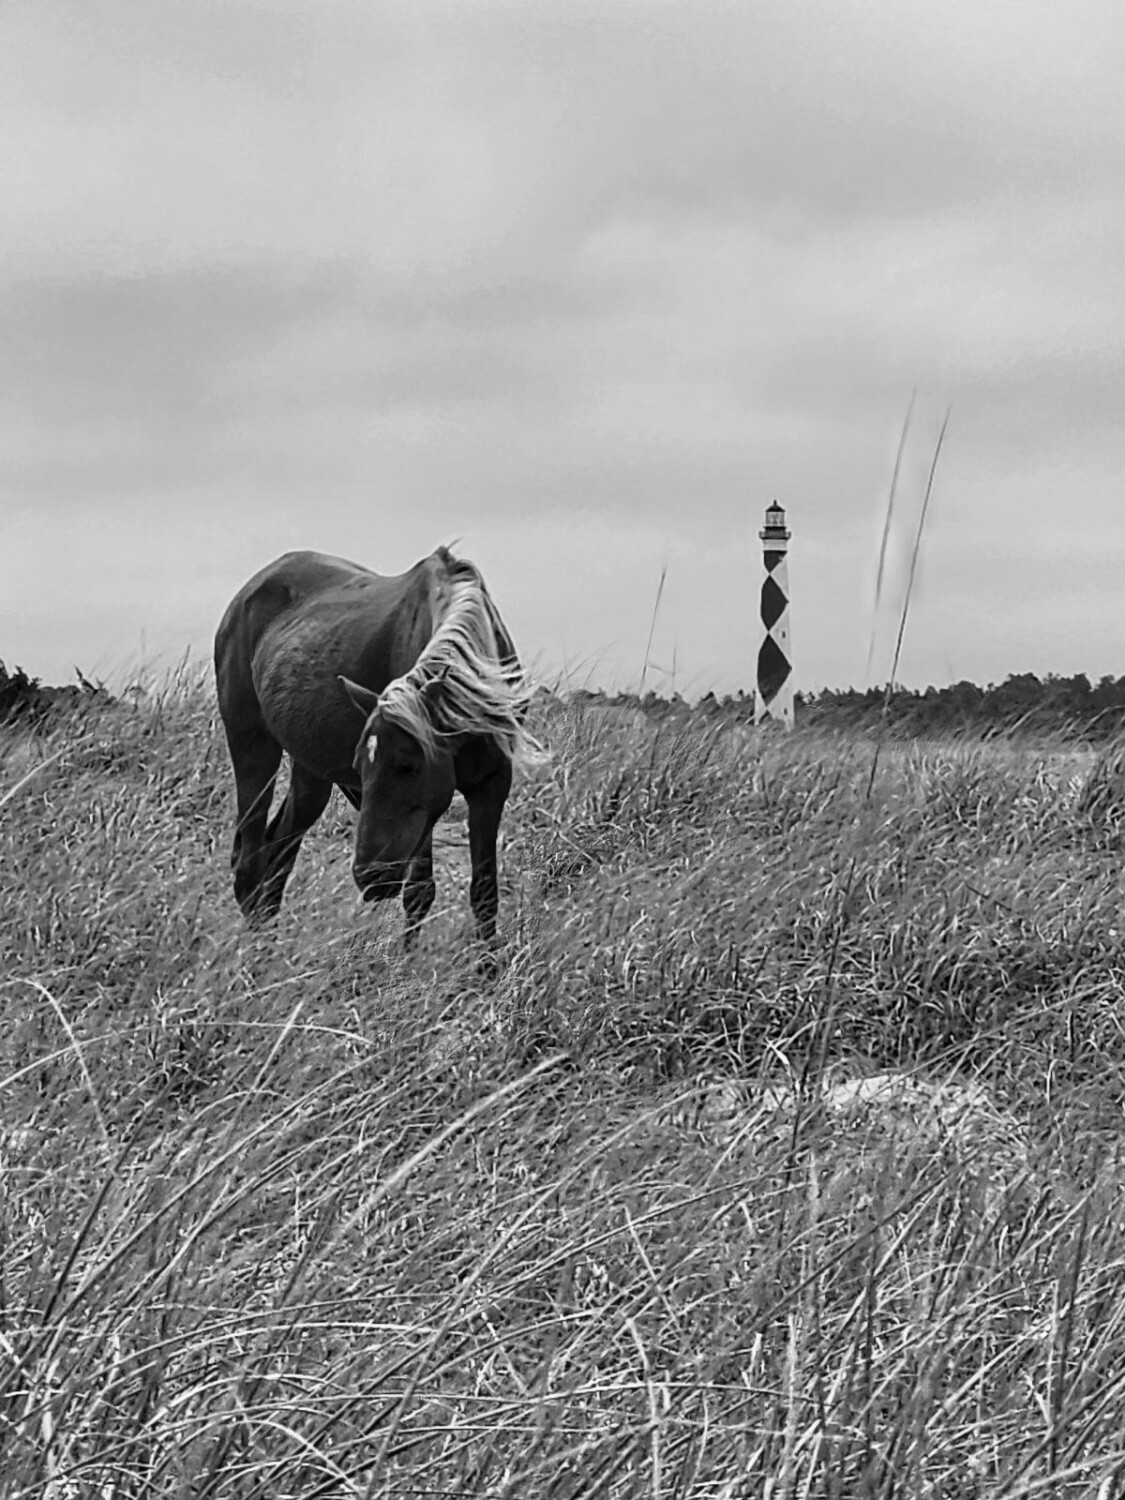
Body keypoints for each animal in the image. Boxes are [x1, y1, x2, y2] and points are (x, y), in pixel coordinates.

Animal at [214, 547, 536, 946]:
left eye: (408, 765)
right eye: (361, 767)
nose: (371, 877)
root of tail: (247, 594)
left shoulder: (491, 786)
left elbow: (485, 892)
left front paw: (488, 964)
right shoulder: (427, 812)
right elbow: (419, 892)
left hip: (311, 773)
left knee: (279, 847)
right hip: (253, 747)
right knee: (250, 855)